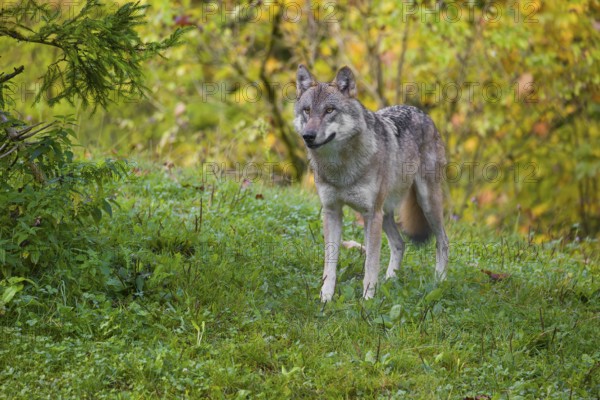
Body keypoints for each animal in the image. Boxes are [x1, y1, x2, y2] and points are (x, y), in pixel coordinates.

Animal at [292, 64, 448, 300]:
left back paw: (439, 282)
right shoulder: (332, 211)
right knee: (400, 244)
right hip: (386, 213)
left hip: (425, 203)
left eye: (329, 110)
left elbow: (371, 262)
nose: (308, 135)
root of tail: (422, 113)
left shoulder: (370, 214)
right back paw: (390, 281)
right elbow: (330, 262)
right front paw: (325, 297)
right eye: (307, 110)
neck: (341, 168)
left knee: (443, 240)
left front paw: (367, 299)